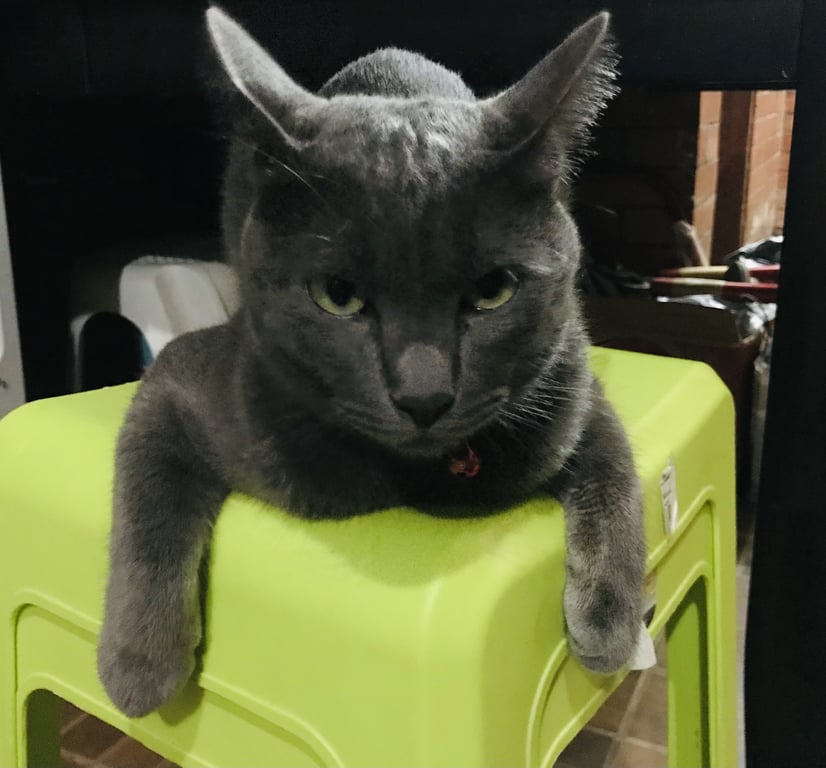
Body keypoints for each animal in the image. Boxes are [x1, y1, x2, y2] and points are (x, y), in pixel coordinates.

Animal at [98, 5, 645, 718]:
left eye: (494, 290)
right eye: (338, 295)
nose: (424, 395)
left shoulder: (570, 382)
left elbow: (615, 474)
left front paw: (610, 626)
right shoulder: (177, 379)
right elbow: (148, 504)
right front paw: (138, 667)